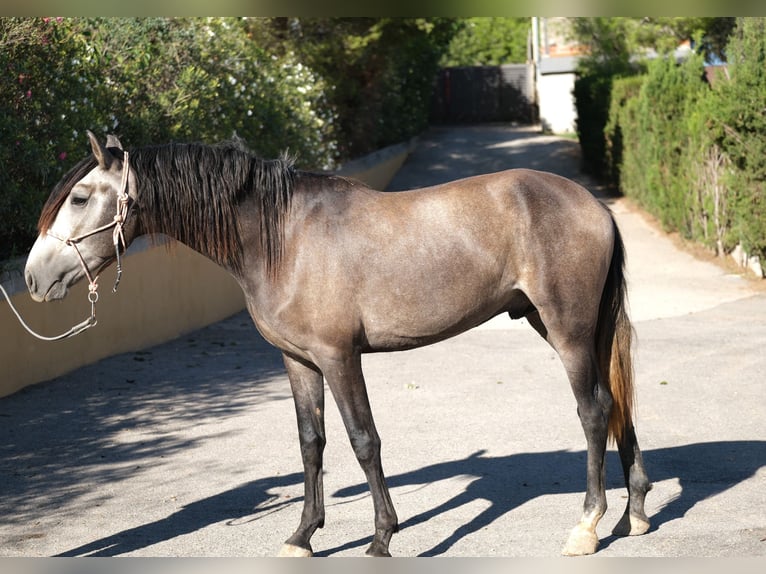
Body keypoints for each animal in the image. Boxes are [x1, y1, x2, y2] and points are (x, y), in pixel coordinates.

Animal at [22, 132, 656, 560]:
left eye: (79, 198)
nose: (32, 278)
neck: (280, 237)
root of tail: (594, 205)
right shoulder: (299, 360)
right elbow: (312, 443)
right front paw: (302, 536)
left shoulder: (338, 357)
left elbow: (363, 440)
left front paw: (381, 537)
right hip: (575, 328)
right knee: (619, 407)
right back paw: (637, 514)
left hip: (568, 330)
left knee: (593, 410)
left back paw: (587, 527)